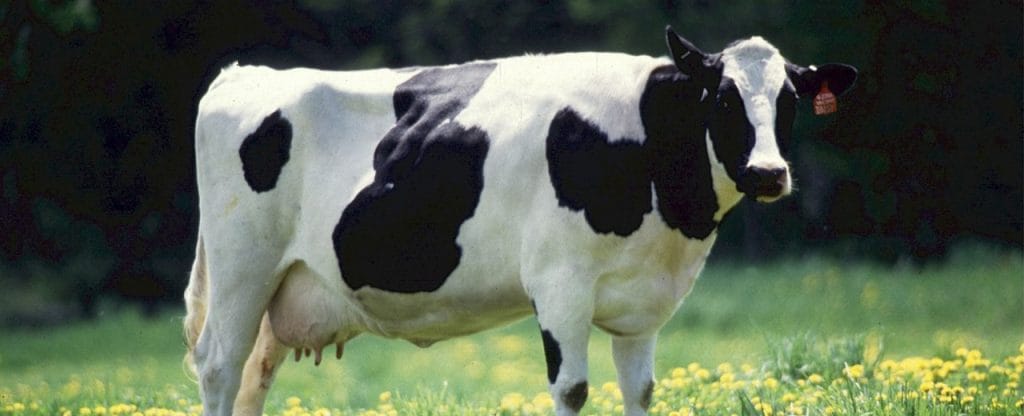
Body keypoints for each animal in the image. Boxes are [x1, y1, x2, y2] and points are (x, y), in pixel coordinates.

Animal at [183, 27, 857, 416]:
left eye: (789, 101)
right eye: (722, 97)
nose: (768, 173)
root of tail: (245, 74)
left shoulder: (643, 303)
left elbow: (639, 391)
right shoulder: (560, 284)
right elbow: (573, 389)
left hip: (281, 288)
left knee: (253, 377)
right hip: (243, 268)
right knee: (219, 368)